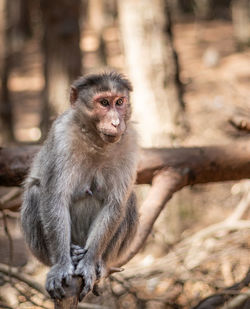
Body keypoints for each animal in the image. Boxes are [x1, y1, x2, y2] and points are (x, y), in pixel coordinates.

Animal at [20, 71, 139, 300]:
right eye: (104, 103)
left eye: (119, 102)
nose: (116, 122)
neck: (96, 141)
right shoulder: (62, 137)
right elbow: (55, 199)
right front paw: (61, 266)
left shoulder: (129, 141)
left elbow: (115, 204)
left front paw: (89, 263)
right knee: (35, 192)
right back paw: (70, 254)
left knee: (129, 200)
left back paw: (100, 262)